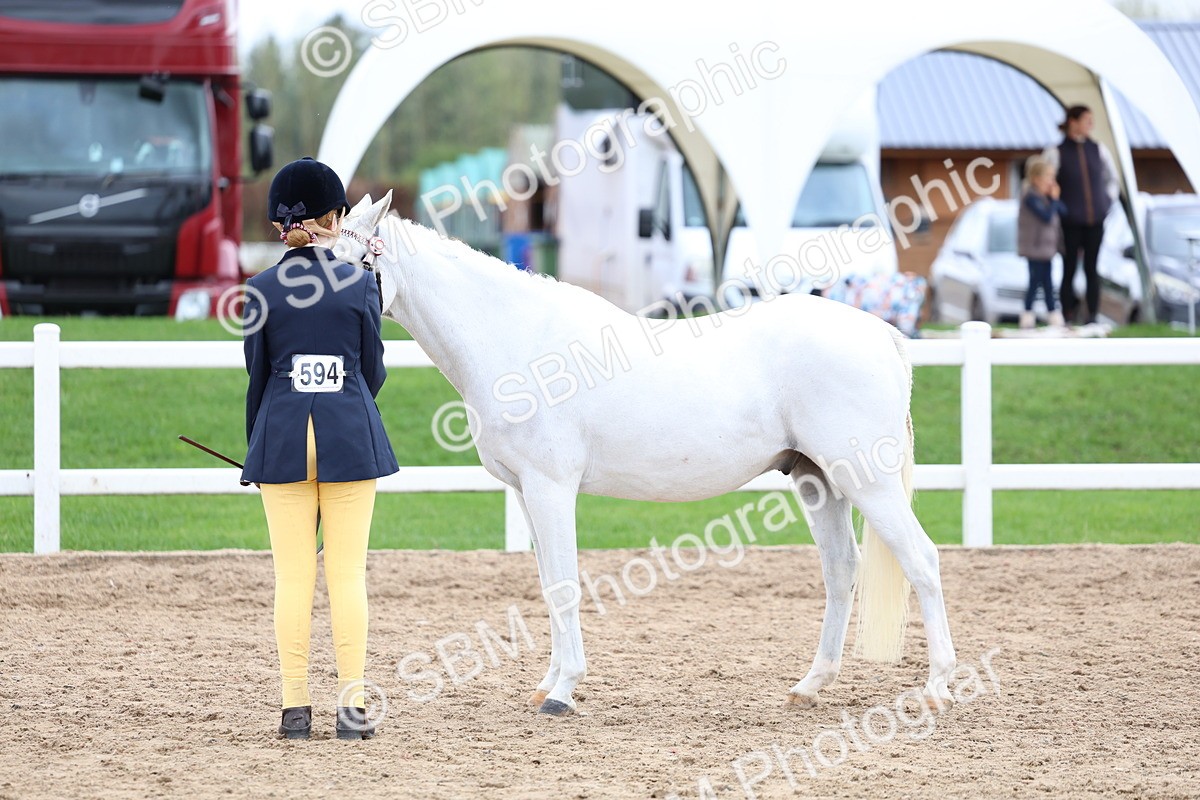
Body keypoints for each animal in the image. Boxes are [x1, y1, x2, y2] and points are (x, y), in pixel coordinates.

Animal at [334, 192, 957, 716]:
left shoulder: (551, 487)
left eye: (350, 263)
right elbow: (548, 585)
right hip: (819, 480)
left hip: (867, 480)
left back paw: (937, 687)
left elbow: (566, 585)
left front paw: (562, 692)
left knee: (922, 561)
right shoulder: (528, 493)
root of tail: (883, 334)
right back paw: (810, 685)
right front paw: (547, 682)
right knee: (841, 570)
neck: (520, 343)